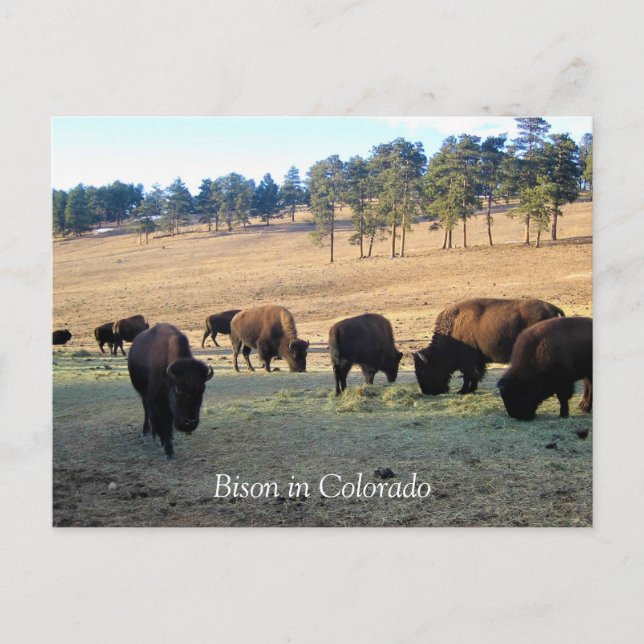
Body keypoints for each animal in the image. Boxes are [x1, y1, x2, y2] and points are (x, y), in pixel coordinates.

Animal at [128, 323, 214, 460]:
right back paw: (148, 432)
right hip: (143, 395)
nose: (190, 422)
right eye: (178, 389)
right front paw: (169, 451)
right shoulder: (158, 401)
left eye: (202, 389)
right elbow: (164, 423)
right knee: (147, 411)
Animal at [413, 297, 565, 395]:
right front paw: (472, 389)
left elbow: (468, 375)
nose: (427, 392)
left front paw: (462, 391)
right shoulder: (478, 360)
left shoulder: (467, 360)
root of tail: (553, 308)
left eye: (422, 371)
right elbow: (476, 375)